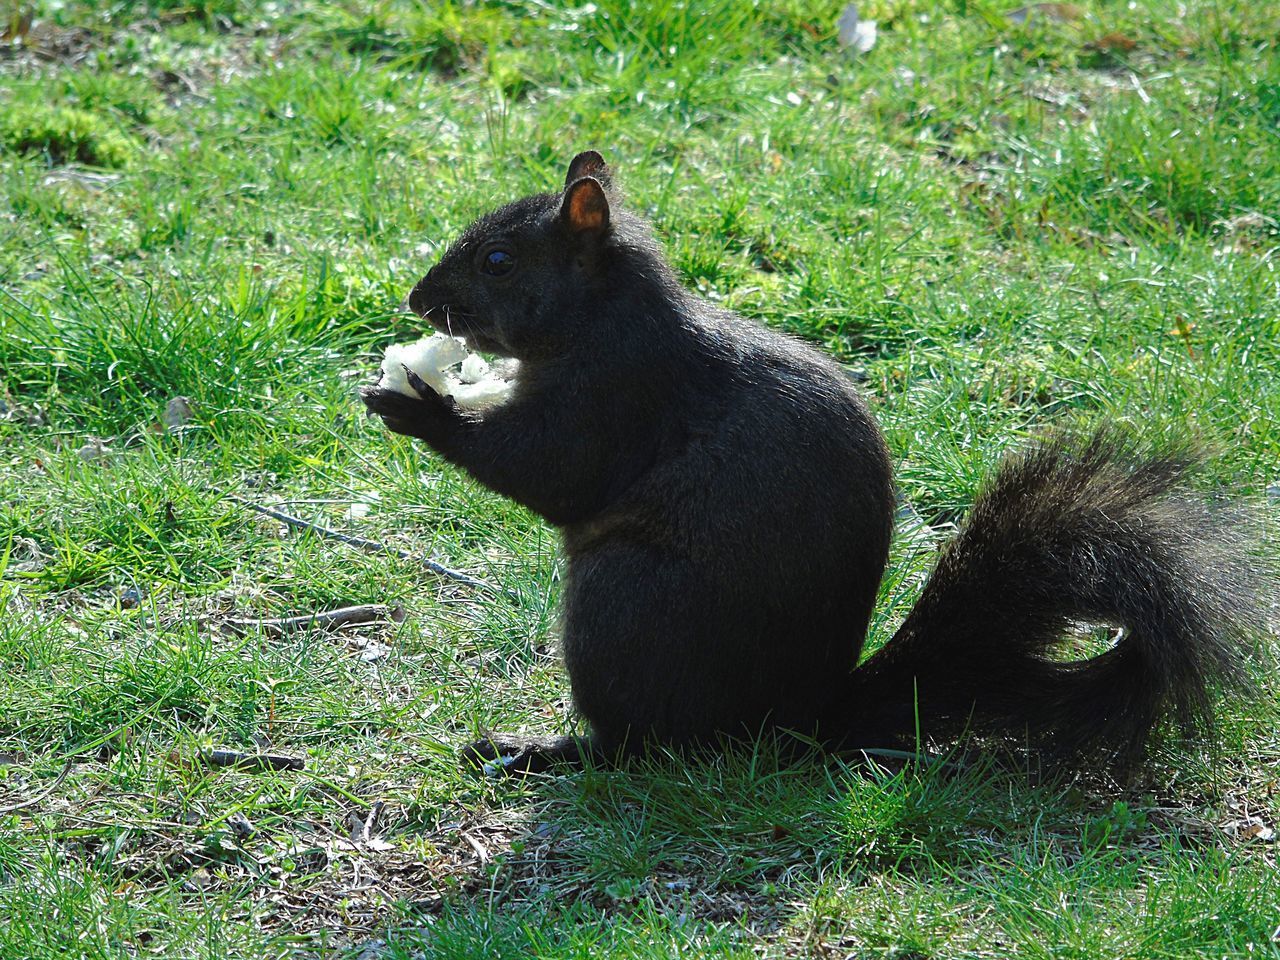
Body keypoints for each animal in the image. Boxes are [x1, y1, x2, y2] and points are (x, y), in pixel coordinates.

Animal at [363, 152, 1269, 783]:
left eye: (499, 261)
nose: (416, 301)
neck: (601, 316)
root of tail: (796, 724)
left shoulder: (616, 398)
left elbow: (547, 469)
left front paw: (417, 405)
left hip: (625, 607)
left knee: (642, 747)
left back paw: (545, 750)